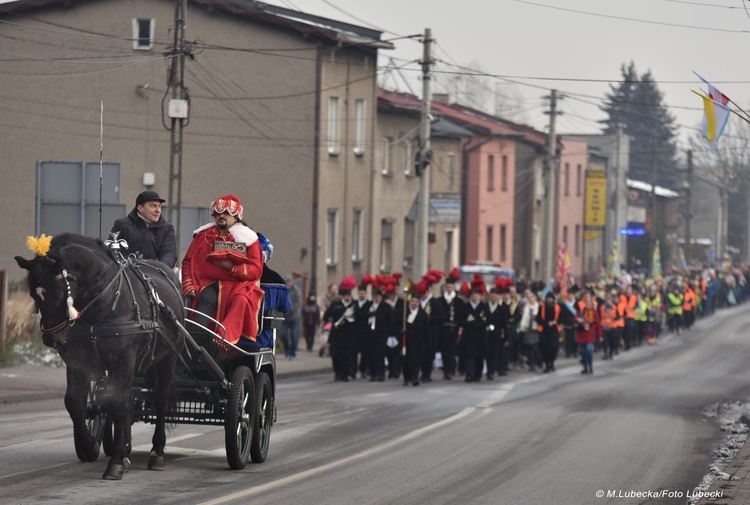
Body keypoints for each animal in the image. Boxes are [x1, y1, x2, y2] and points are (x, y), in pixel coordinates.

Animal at [16, 234, 184, 478]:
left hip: (166, 360)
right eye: (33, 295)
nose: (52, 339)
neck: (106, 302)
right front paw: (88, 445)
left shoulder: (124, 359)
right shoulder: (79, 361)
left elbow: (118, 404)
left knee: (160, 399)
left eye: (59, 293)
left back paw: (157, 452)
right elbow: (75, 402)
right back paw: (126, 448)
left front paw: (115, 462)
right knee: (128, 400)